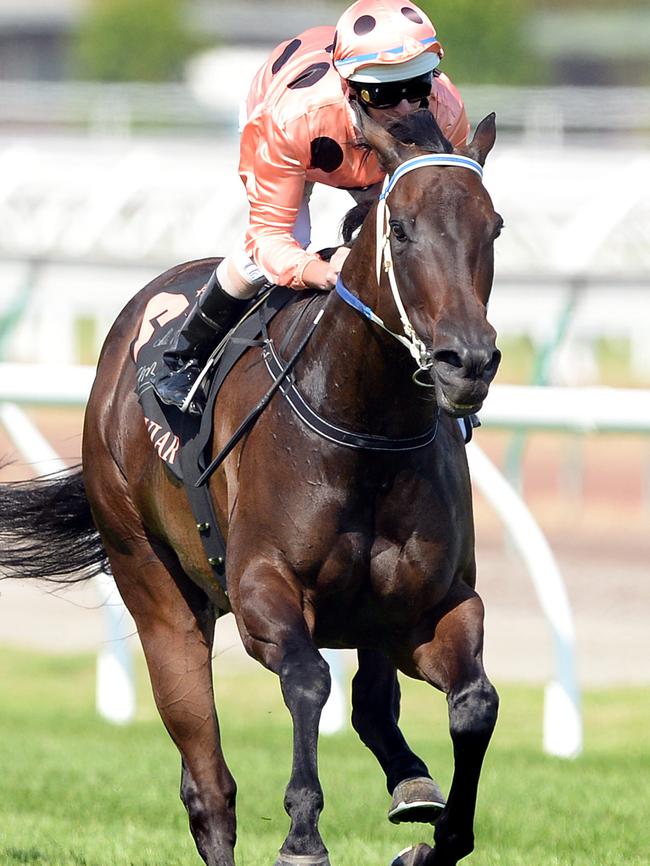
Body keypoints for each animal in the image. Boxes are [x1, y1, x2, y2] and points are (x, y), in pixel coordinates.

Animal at [0, 108, 502, 864]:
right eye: (403, 229)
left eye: (492, 226)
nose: (466, 362)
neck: (367, 428)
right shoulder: (264, 589)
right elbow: (308, 679)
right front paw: (302, 833)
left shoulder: (434, 605)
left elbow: (475, 704)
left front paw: (432, 837)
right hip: (152, 582)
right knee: (208, 785)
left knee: (372, 704)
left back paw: (411, 782)